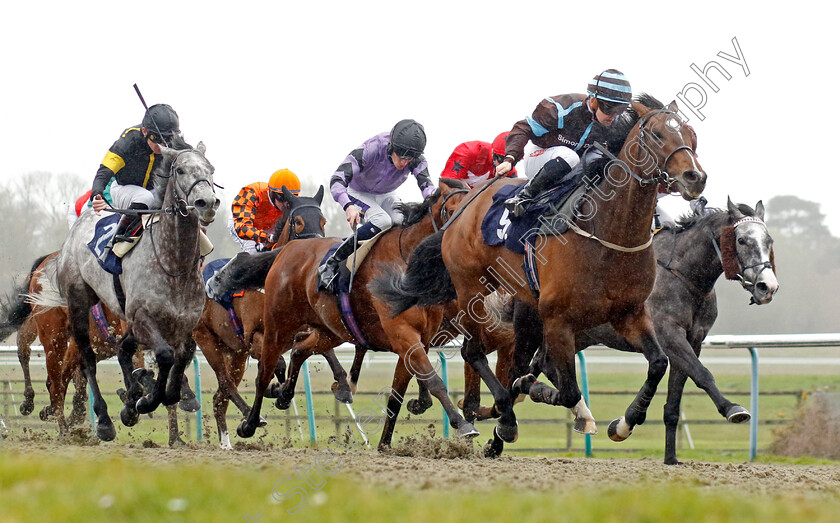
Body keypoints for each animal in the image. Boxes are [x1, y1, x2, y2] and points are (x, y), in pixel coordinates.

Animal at [30, 141, 220, 440]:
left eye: (210, 169)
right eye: (179, 170)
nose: (207, 203)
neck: (172, 264)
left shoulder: (183, 323)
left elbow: (182, 356)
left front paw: (152, 396)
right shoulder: (143, 319)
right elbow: (164, 356)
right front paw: (147, 399)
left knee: (121, 350)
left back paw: (129, 401)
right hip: (77, 304)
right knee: (86, 359)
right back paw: (105, 420)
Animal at [235, 178, 480, 448]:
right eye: (452, 210)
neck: (406, 264)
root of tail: (289, 247)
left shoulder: (419, 340)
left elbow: (398, 394)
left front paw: (386, 442)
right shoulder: (403, 334)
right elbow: (434, 381)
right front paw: (462, 424)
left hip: (331, 330)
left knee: (300, 350)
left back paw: (285, 395)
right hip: (277, 327)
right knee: (264, 373)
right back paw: (249, 424)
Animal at [380, 95, 708, 446]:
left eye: (691, 135)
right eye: (658, 134)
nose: (695, 177)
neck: (609, 233)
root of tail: (465, 203)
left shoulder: (629, 313)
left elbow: (658, 363)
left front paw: (624, 422)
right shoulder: (558, 320)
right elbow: (565, 389)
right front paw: (541, 398)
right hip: (472, 289)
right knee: (473, 351)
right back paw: (505, 417)